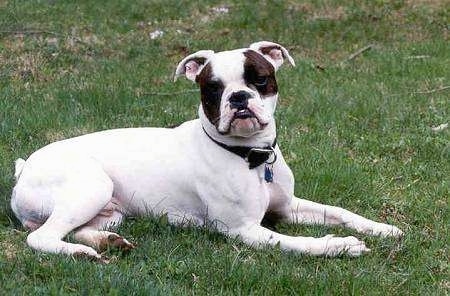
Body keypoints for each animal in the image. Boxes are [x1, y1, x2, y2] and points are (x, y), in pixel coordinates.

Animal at [11, 41, 404, 260]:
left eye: (259, 79)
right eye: (213, 88)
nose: (239, 97)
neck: (250, 158)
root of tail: (23, 168)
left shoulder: (286, 207)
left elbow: (341, 212)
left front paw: (383, 228)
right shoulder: (245, 230)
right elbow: (295, 244)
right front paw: (338, 247)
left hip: (109, 210)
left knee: (73, 229)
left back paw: (106, 242)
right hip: (92, 187)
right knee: (41, 237)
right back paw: (80, 254)